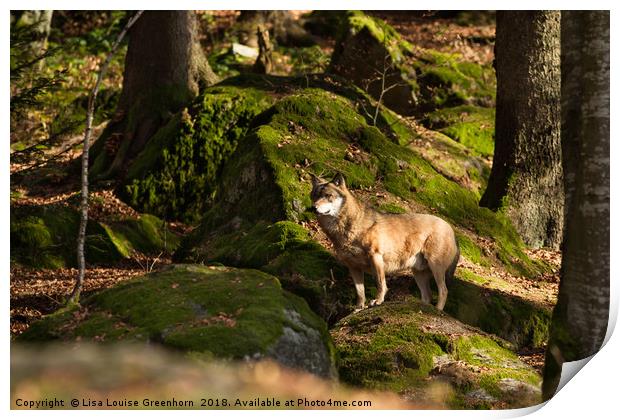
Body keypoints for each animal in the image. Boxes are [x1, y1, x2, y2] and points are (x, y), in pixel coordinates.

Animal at [310, 171, 460, 312]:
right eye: (314, 196)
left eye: (328, 196)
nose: (313, 207)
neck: (346, 228)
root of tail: (451, 230)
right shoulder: (353, 267)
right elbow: (360, 292)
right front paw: (358, 309)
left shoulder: (375, 257)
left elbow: (380, 283)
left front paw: (377, 301)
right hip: (418, 273)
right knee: (427, 296)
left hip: (436, 267)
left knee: (443, 291)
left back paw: (437, 311)